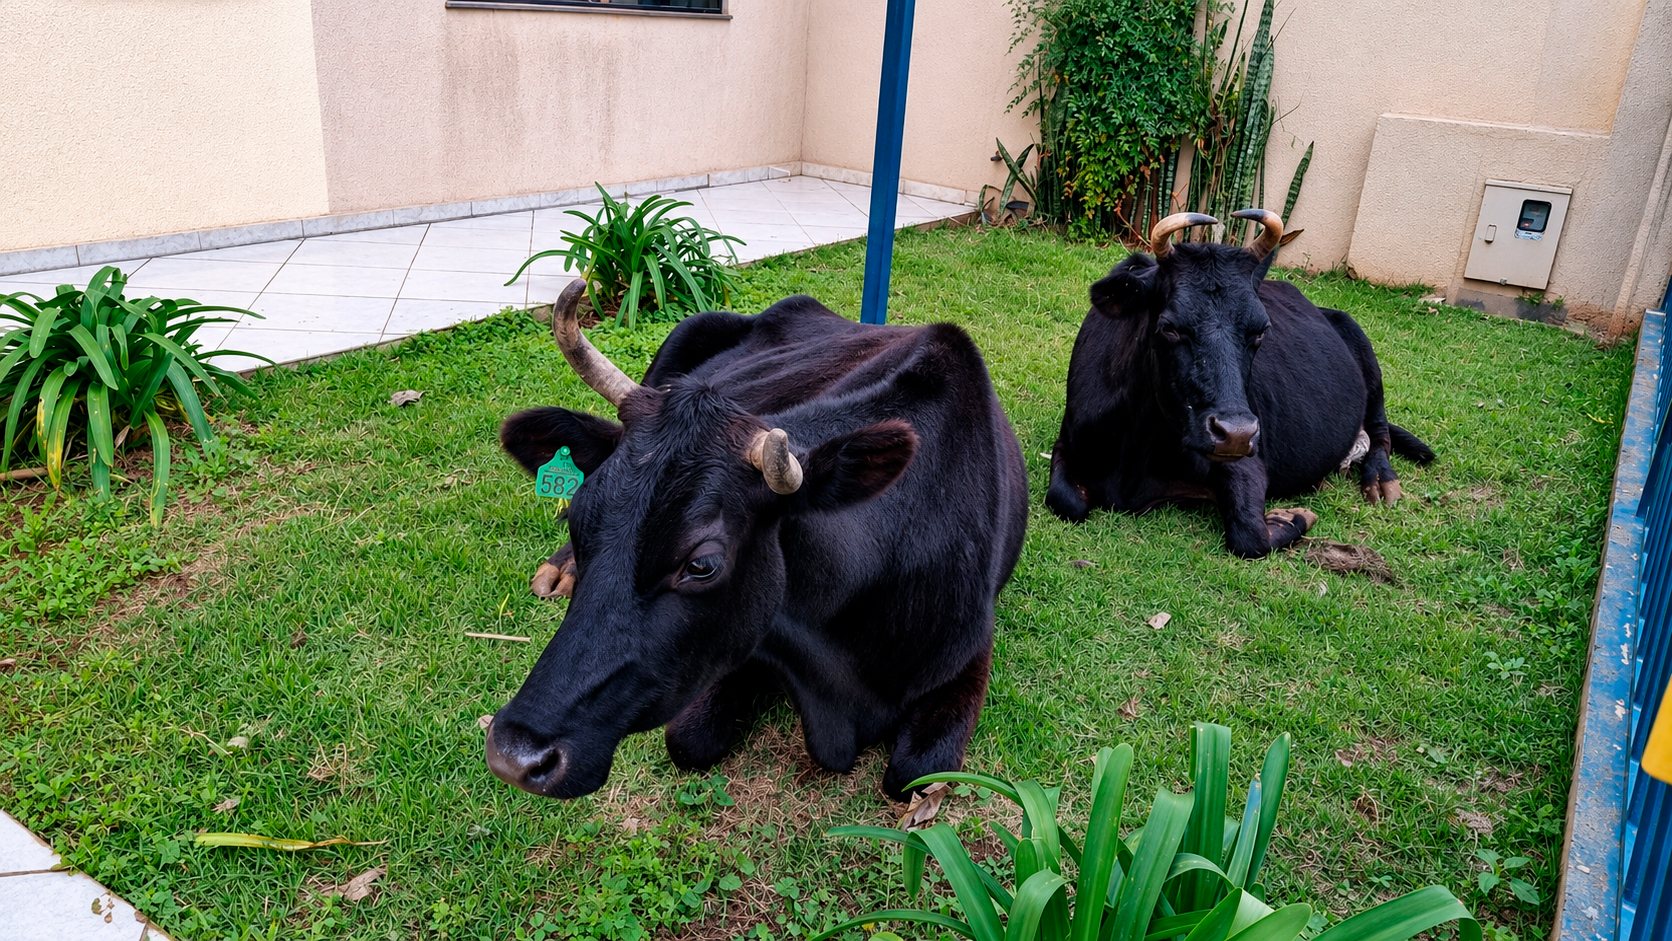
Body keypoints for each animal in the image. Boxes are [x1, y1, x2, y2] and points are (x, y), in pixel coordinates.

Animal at [485, 280, 1029, 801]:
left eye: (702, 564)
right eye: (579, 518)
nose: (514, 754)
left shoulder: (967, 656)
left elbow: (915, 774)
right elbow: (689, 741)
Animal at [1046, 209, 1434, 559]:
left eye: (1261, 331)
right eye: (1169, 327)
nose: (1236, 433)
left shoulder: (1248, 461)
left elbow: (1250, 536)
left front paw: (1292, 516)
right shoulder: (1067, 441)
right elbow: (1064, 501)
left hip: (1363, 348)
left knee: (1380, 430)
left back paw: (1381, 479)